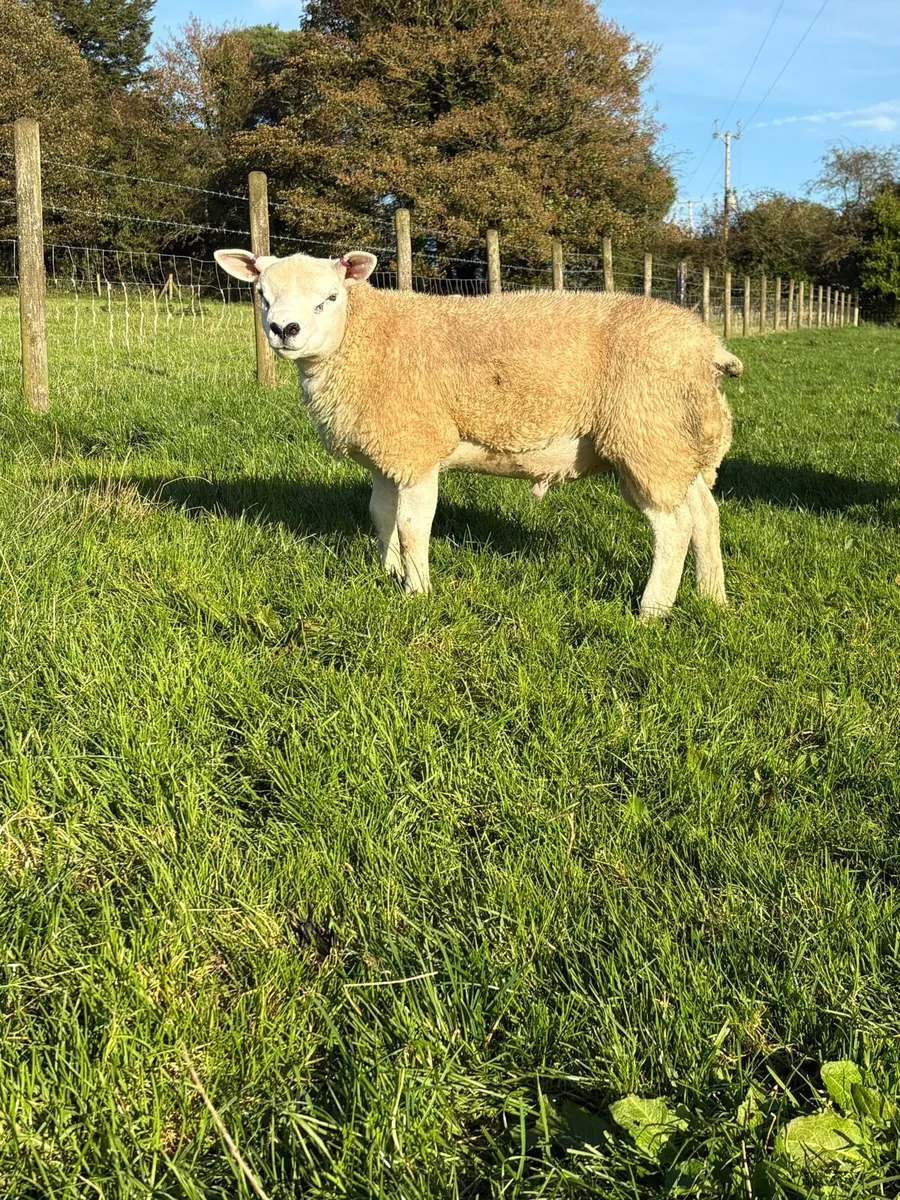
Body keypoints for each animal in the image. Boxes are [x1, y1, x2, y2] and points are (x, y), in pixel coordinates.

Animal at [214, 248, 741, 617]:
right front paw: (388, 572)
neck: (366, 341)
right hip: (679, 441)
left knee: (674, 525)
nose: (285, 329)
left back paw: (652, 610)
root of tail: (707, 345)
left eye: (330, 298)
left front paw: (417, 591)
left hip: (647, 433)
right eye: (262, 295)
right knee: (705, 514)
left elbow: (412, 525)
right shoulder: (388, 449)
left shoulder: (418, 446)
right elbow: (380, 516)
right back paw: (711, 596)